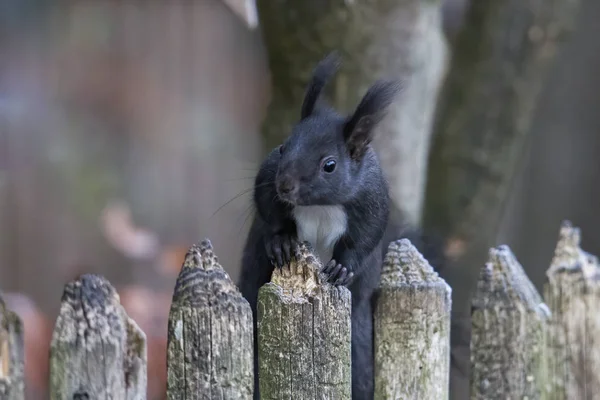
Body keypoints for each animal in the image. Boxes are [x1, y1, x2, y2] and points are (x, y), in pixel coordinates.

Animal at [237, 54, 448, 400]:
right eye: (282, 148)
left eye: (330, 165)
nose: (284, 185)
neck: (320, 206)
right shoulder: (267, 180)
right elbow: (268, 209)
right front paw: (281, 241)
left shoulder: (373, 198)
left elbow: (365, 237)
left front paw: (342, 268)